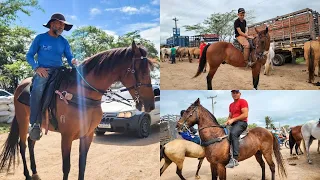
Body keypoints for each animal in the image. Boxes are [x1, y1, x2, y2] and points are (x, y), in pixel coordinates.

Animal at [0, 41, 155, 179]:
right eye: (141, 71)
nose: (151, 105)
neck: (82, 95)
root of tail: (20, 86)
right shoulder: (66, 136)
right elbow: (66, 167)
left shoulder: (88, 135)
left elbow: (82, 164)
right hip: (23, 120)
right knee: (22, 145)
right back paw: (27, 174)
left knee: (31, 142)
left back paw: (35, 172)